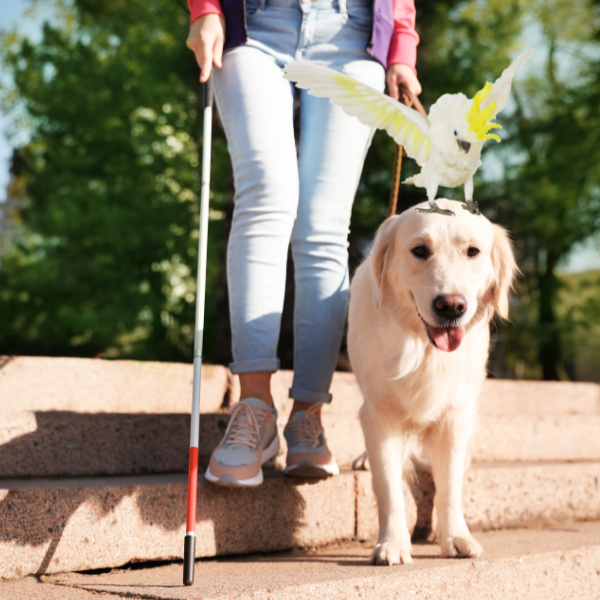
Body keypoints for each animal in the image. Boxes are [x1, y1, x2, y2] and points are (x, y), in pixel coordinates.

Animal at [350, 199, 516, 564]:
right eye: (420, 250)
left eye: (473, 251)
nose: (451, 306)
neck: (424, 349)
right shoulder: (379, 414)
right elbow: (389, 487)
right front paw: (392, 543)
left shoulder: (455, 415)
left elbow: (449, 484)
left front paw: (456, 537)